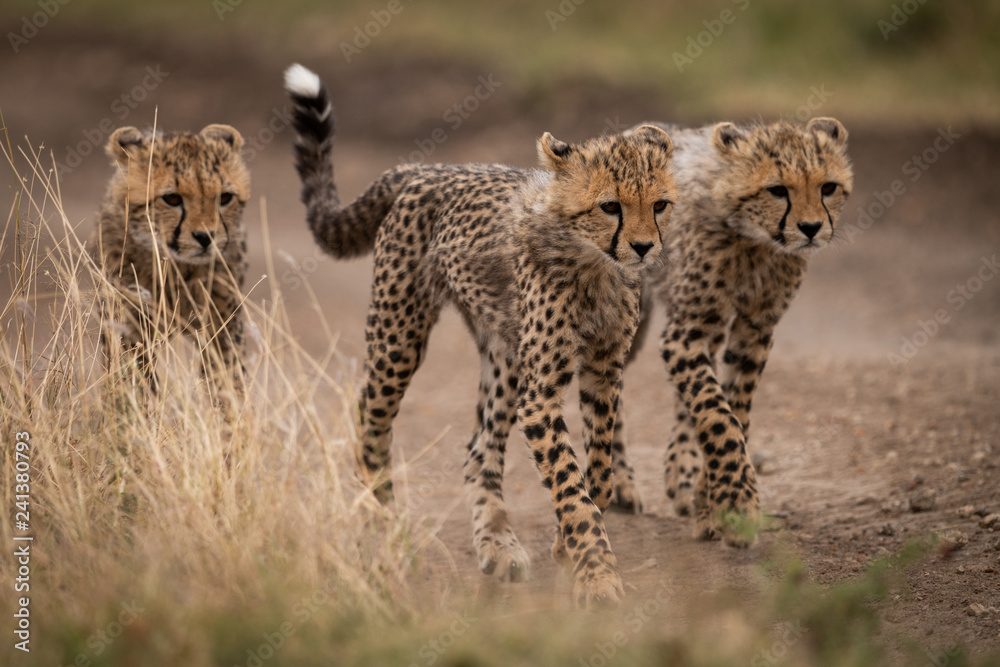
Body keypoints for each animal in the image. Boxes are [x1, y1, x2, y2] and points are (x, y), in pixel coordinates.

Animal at [93, 124, 251, 403]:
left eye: (225, 198)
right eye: (173, 199)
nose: (206, 237)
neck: (177, 268)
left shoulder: (222, 322)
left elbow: (225, 376)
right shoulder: (130, 323)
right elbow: (134, 376)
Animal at [284, 64, 677, 608]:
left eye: (659, 204)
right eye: (610, 206)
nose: (643, 247)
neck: (596, 264)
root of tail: (431, 168)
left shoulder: (603, 371)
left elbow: (594, 472)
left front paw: (568, 547)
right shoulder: (541, 393)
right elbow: (570, 484)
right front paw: (597, 576)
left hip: (504, 353)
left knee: (477, 450)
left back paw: (497, 542)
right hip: (399, 337)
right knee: (369, 424)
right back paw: (382, 526)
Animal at [609, 118, 853, 547]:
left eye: (828, 187)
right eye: (777, 189)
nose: (811, 228)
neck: (754, 240)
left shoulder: (754, 329)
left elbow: (732, 407)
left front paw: (715, 503)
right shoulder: (687, 329)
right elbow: (716, 414)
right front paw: (736, 503)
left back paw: (683, 472)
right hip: (632, 315)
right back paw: (620, 482)